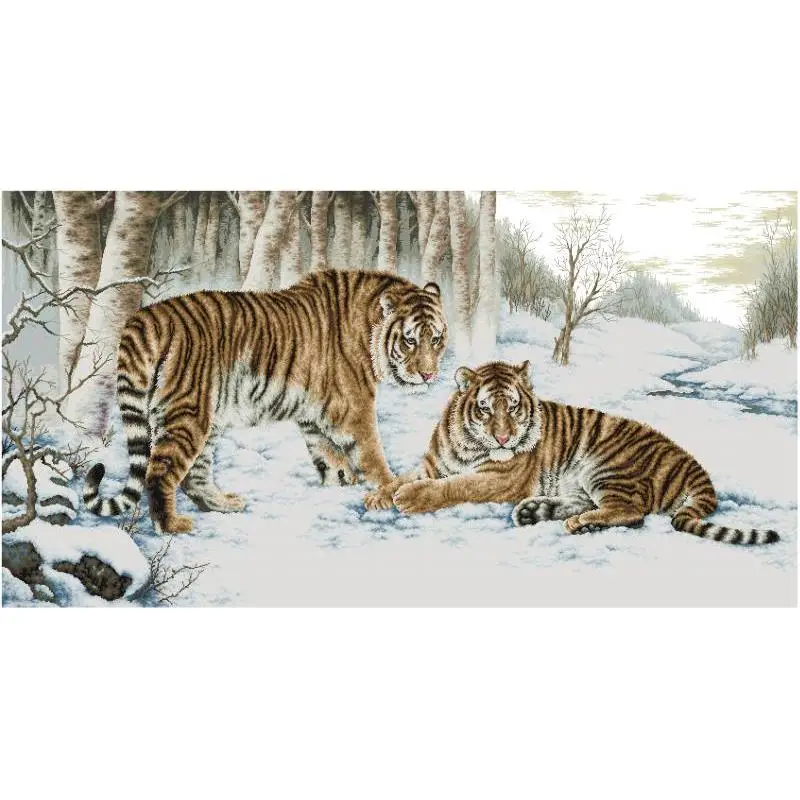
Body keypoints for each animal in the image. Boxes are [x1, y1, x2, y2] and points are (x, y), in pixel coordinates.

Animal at [83, 269, 448, 534]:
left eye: (436, 338)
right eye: (410, 340)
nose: (429, 375)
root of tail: (146, 317)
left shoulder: (312, 415)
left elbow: (330, 456)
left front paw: (341, 483)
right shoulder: (354, 408)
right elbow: (371, 454)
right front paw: (391, 491)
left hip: (206, 420)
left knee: (193, 476)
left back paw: (224, 504)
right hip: (189, 414)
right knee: (160, 473)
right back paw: (171, 525)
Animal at [365, 360, 780, 546]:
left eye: (513, 407)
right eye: (485, 409)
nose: (503, 439)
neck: (469, 444)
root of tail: (689, 460)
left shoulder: (497, 479)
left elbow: (456, 486)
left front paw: (409, 498)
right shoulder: (434, 464)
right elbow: (405, 476)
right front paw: (378, 495)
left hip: (604, 466)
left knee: (632, 512)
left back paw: (578, 523)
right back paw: (536, 511)